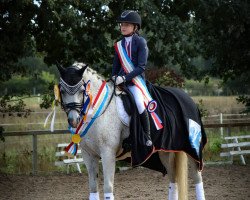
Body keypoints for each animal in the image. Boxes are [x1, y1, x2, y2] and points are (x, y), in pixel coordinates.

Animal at [57, 63, 206, 200]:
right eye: (62, 91)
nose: (73, 120)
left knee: (197, 178)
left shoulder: (107, 153)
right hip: (166, 150)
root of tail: (187, 98)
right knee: (173, 179)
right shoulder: (88, 155)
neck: (97, 111)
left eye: (82, 90)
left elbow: (108, 188)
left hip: (192, 150)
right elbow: (93, 188)